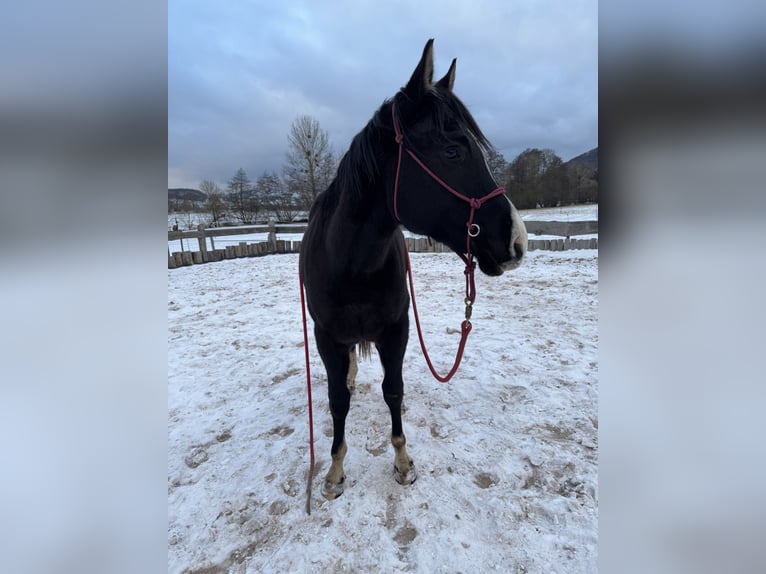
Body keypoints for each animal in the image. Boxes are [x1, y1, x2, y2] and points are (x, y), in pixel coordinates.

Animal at [299, 39, 527, 500]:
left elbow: (393, 389)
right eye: (452, 150)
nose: (517, 239)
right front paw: (334, 470)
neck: (352, 266)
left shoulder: (397, 330)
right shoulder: (326, 337)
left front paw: (403, 462)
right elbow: (337, 400)